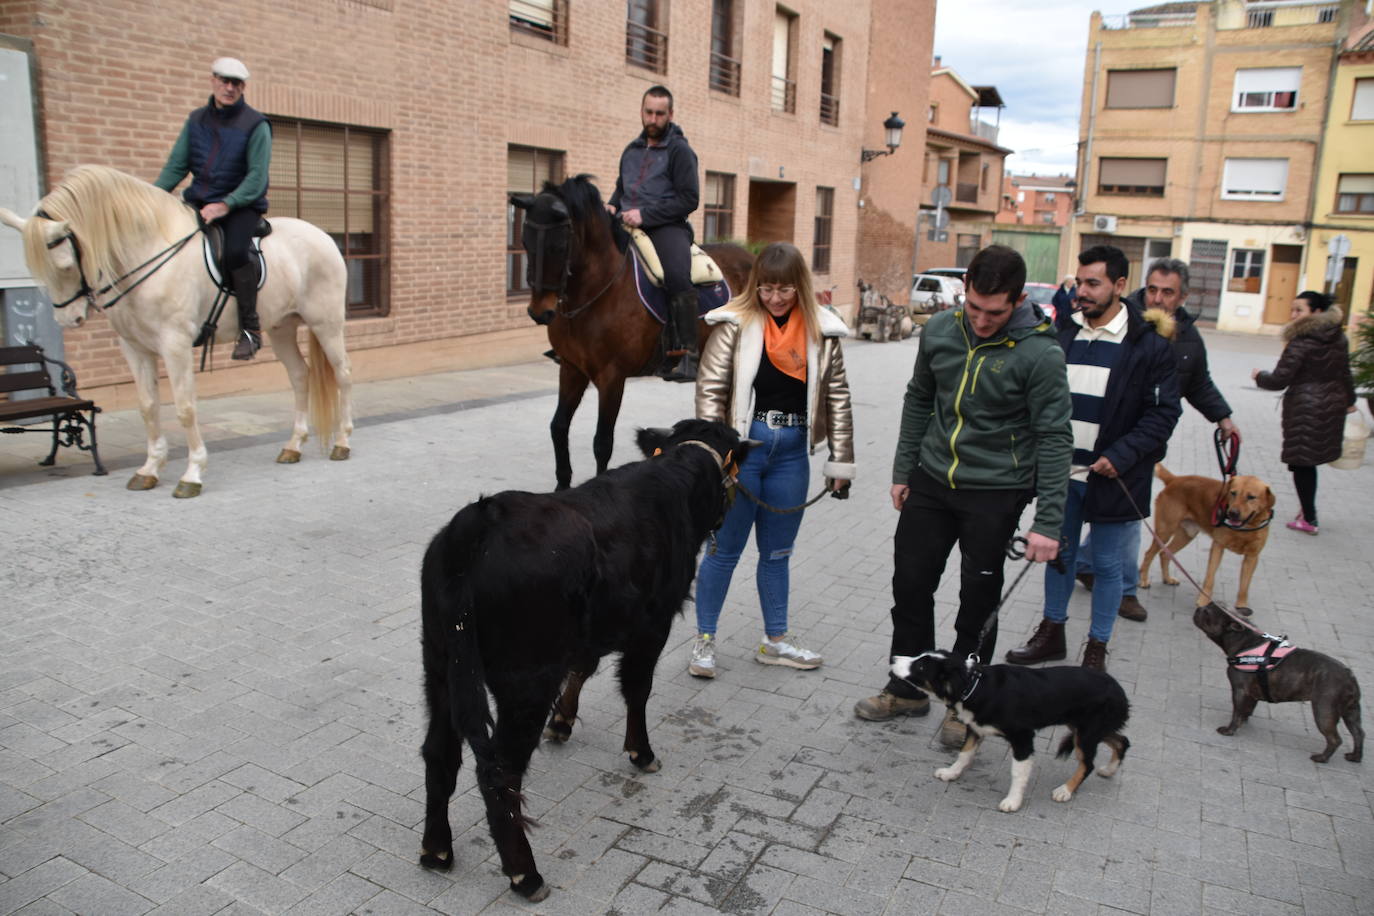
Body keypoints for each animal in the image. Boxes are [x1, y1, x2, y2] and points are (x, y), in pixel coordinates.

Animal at [1, 161, 354, 497]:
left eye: (65, 266)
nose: (69, 320)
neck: (147, 254)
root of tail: (323, 236)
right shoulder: (135, 347)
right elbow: (148, 406)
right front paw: (149, 469)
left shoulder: (175, 344)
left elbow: (184, 408)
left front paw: (192, 473)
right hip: (281, 329)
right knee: (300, 376)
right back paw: (293, 446)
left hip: (327, 324)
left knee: (343, 375)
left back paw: (342, 442)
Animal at [513, 179, 752, 494]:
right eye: (525, 241)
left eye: (559, 245)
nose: (540, 312)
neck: (598, 290)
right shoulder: (572, 368)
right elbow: (558, 427)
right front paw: (561, 486)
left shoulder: (612, 377)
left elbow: (602, 442)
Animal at [1137, 466, 1275, 615]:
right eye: (1233, 493)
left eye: (1251, 497)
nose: (1232, 513)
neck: (1245, 528)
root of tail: (1175, 479)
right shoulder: (1217, 547)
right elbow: (1210, 578)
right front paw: (1203, 601)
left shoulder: (1252, 557)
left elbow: (1244, 586)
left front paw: (1241, 606)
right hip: (1165, 531)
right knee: (1149, 554)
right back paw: (1143, 579)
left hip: (1187, 534)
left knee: (1164, 553)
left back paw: (1167, 579)